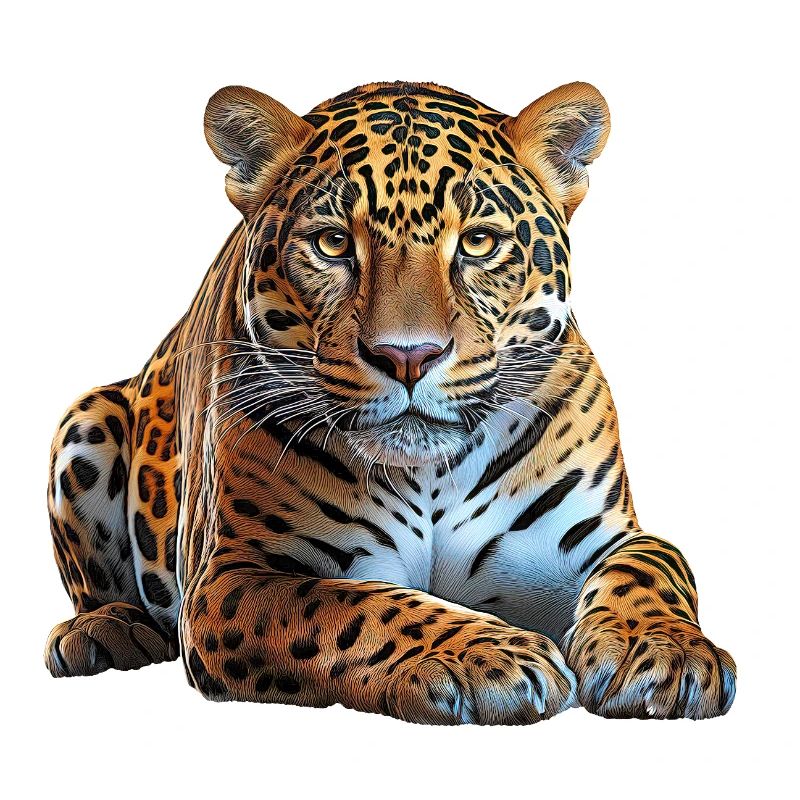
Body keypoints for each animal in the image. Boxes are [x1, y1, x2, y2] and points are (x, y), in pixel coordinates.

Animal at [44, 80, 736, 723]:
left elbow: (656, 564)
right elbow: (357, 606)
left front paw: (661, 652)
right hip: (88, 419)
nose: (408, 356)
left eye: (479, 243)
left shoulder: (601, 537)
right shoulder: (233, 578)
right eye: (331, 244)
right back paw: (103, 633)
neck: (430, 474)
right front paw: (488, 657)